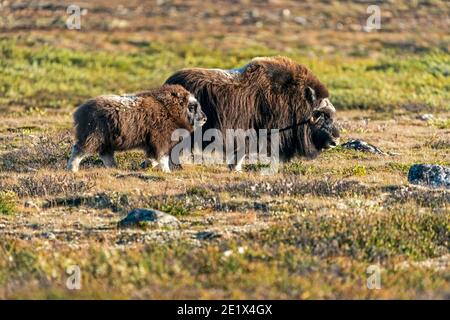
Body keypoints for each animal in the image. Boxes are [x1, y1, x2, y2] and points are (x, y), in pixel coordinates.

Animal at [67, 84, 207, 171]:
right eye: (192, 107)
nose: (205, 119)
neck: (170, 110)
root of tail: (80, 110)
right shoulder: (161, 140)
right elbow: (163, 156)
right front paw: (167, 171)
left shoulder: (153, 144)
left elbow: (153, 157)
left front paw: (145, 165)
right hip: (93, 137)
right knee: (78, 150)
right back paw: (72, 169)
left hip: (106, 141)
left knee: (106, 155)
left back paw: (114, 168)